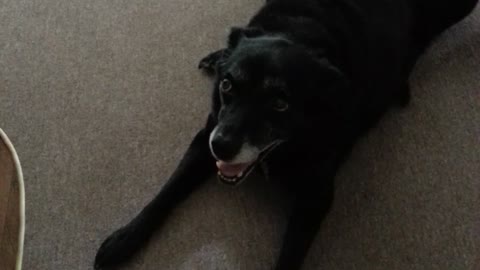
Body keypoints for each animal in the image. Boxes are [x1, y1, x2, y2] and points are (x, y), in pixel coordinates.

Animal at [93, 1, 476, 268]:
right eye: (228, 85)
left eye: (280, 103)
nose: (222, 147)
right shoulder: (206, 134)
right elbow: (167, 193)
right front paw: (124, 239)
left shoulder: (317, 193)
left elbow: (291, 253)